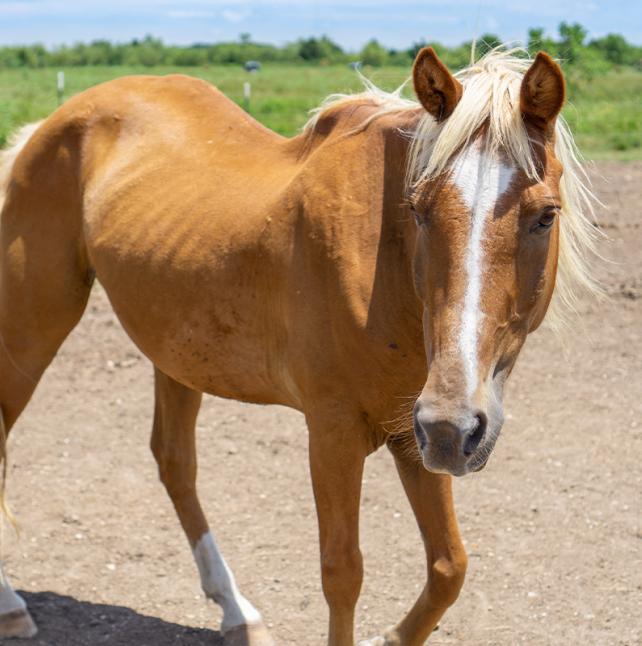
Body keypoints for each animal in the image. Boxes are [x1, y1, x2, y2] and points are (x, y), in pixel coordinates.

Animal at [0, 47, 598, 645]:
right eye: (418, 208)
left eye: (546, 216)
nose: (456, 425)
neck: (382, 266)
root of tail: (48, 126)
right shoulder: (334, 432)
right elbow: (343, 572)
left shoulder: (414, 436)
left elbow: (449, 566)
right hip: (32, 330)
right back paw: (12, 607)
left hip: (176, 354)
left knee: (176, 465)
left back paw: (236, 611)